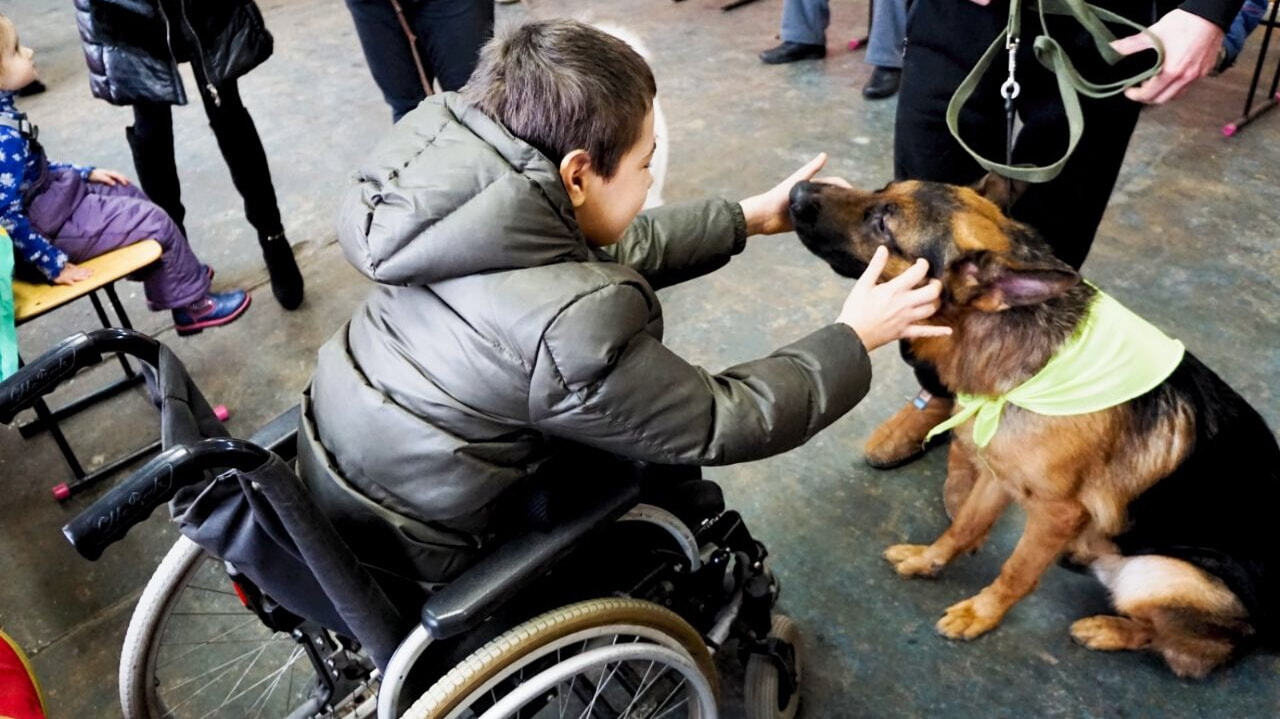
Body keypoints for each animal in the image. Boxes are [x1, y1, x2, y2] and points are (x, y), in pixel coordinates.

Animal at [788, 176, 1280, 675]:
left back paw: (1109, 629)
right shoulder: (998, 474)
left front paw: (981, 613)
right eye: (882, 189)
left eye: (883, 224)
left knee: (1179, 645)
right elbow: (963, 527)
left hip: (1156, 574)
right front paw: (929, 560)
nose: (797, 192)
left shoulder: (1056, 513)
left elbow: (1017, 571)